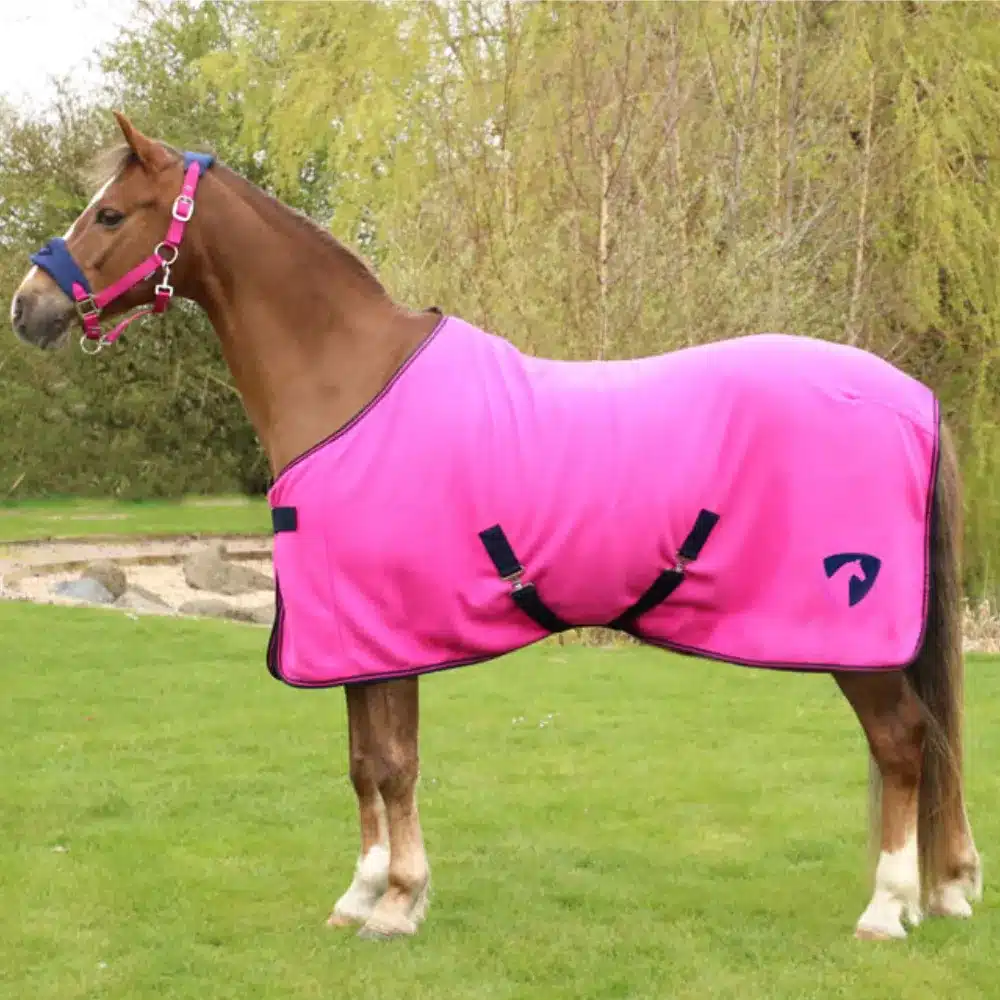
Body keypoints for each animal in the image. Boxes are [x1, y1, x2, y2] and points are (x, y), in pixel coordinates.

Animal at [9, 112, 982, 942]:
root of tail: (911, 397)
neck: (348, 379)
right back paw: (938, 889)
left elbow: (393, 762)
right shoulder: (356, 632)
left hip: (853, 633)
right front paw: (362, 893)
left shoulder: (389, 625)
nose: (27, 307)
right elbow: (363, 761)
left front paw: (399, 904)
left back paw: (887, 908)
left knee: (903, 743)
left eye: (110, 213)